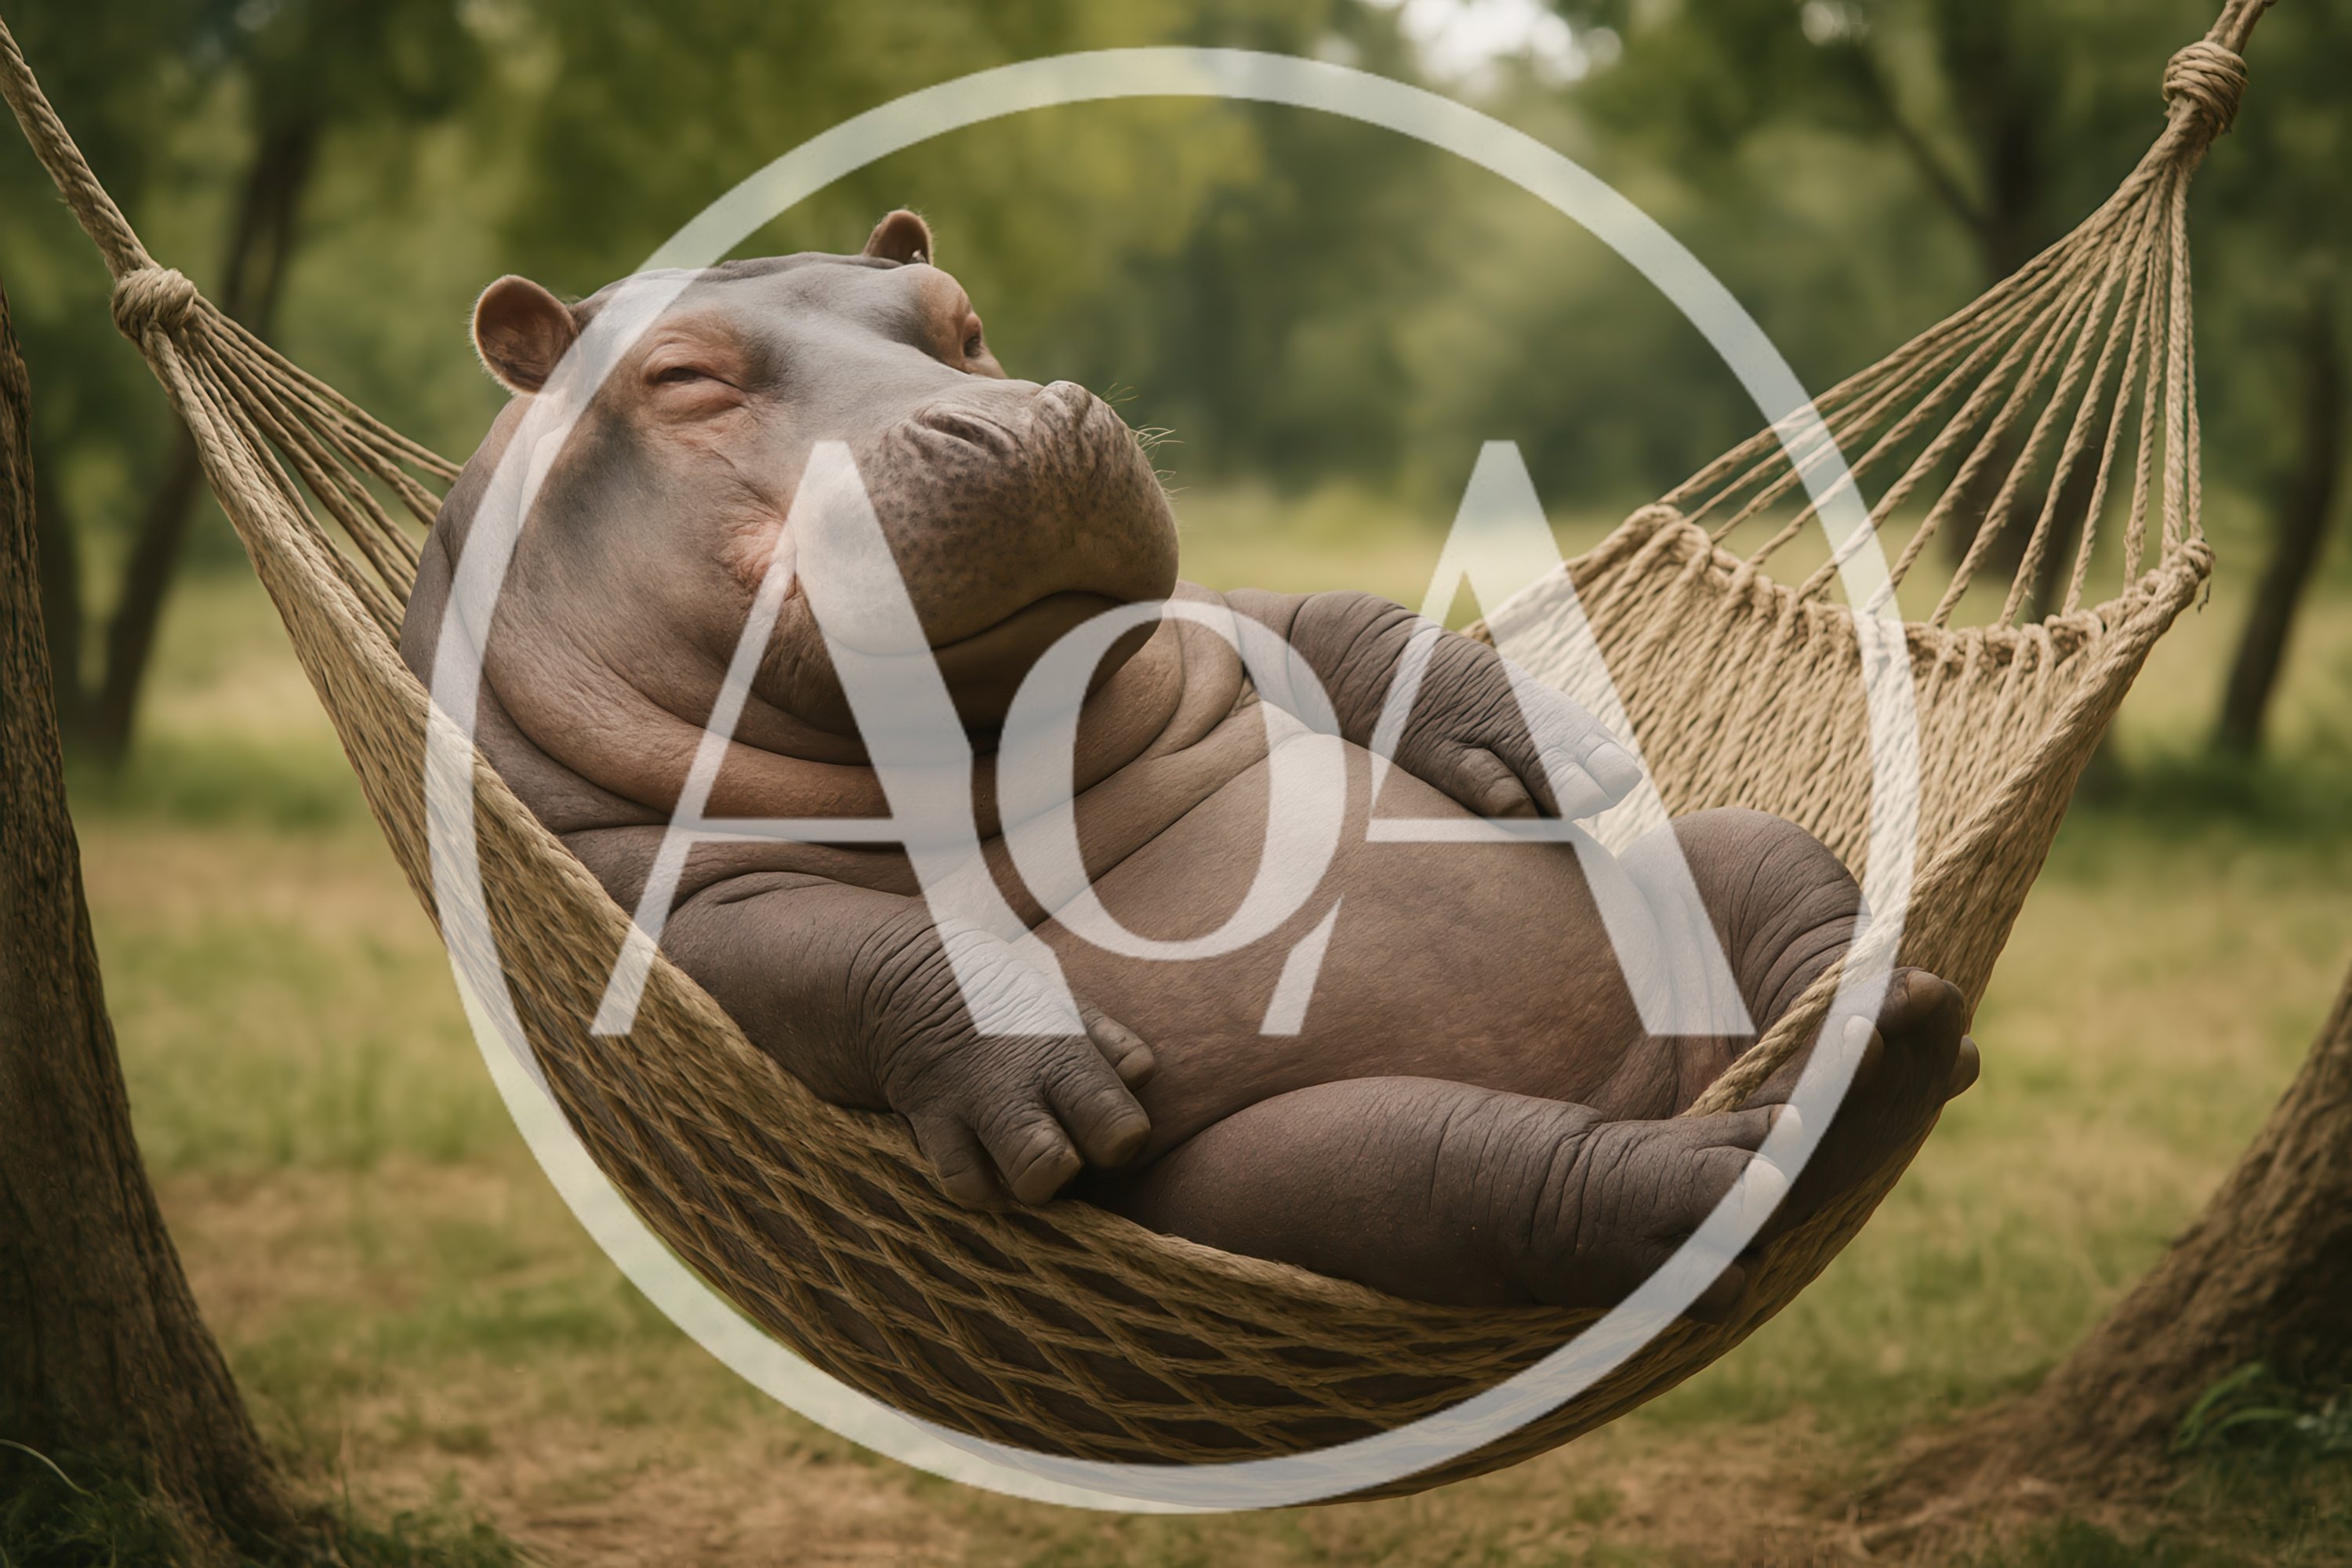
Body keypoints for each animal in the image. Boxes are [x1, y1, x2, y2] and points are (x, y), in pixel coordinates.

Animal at [402, 211, 1977, 1322]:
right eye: (681, 378)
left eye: (964, 321)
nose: (1028, 420)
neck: (986, 735)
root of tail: (1677, 1081)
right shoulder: (645, 895)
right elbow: (834, 949)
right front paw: (1049, 1096)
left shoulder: (1217, 624)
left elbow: (1338, 621)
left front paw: (1539, 741)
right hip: (1298, 1175)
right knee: (1507, 1183)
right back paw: (1744, 1161)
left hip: (1727, 864)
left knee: (1776, 875)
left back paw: (1880, 1028)